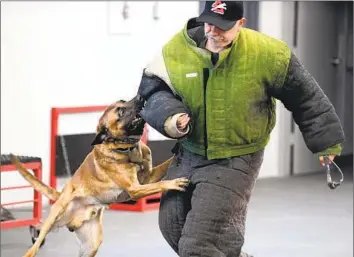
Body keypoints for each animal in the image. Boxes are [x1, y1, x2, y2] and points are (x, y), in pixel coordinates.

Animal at [10, 95, 188, 256]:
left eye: (123, 101)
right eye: (121, 112)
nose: (141, 97)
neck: (127, 149)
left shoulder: (148, 178)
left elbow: (164, 166)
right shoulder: (135, 189)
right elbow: (159, 184)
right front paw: (174, 183)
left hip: (92, 244)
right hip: (52, 220)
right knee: (33, 246)